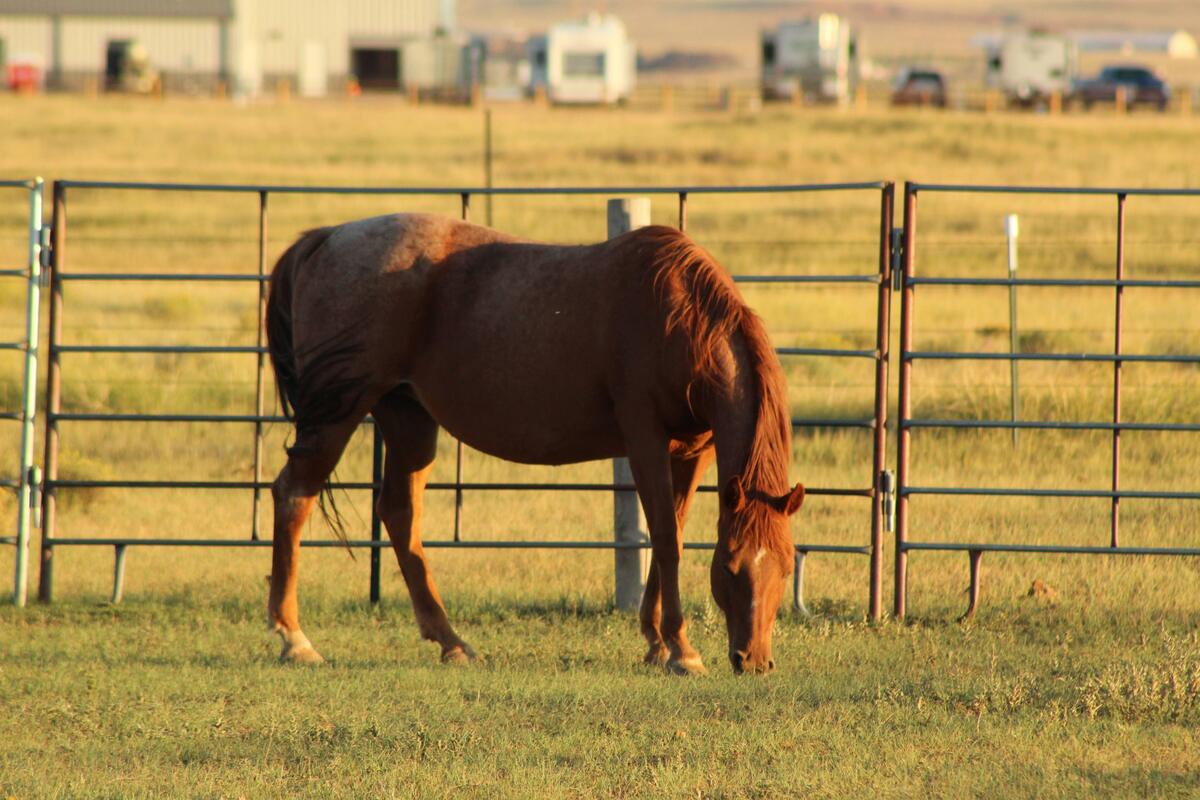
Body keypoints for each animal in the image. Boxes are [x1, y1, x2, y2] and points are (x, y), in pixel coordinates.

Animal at [264, 212, 805, 675]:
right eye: (730, 567)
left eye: (783, 569)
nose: (754, 660)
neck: (677, 315)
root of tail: (328, 238)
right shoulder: (645, 439)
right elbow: (667, 541)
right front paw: (680, 650)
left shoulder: (693, 451)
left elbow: (668, 532)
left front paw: (656, 643)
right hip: (339, 412)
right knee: (294, 495)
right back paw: (294, 639)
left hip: (408, 418)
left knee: (399, 514)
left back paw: (451, 642)